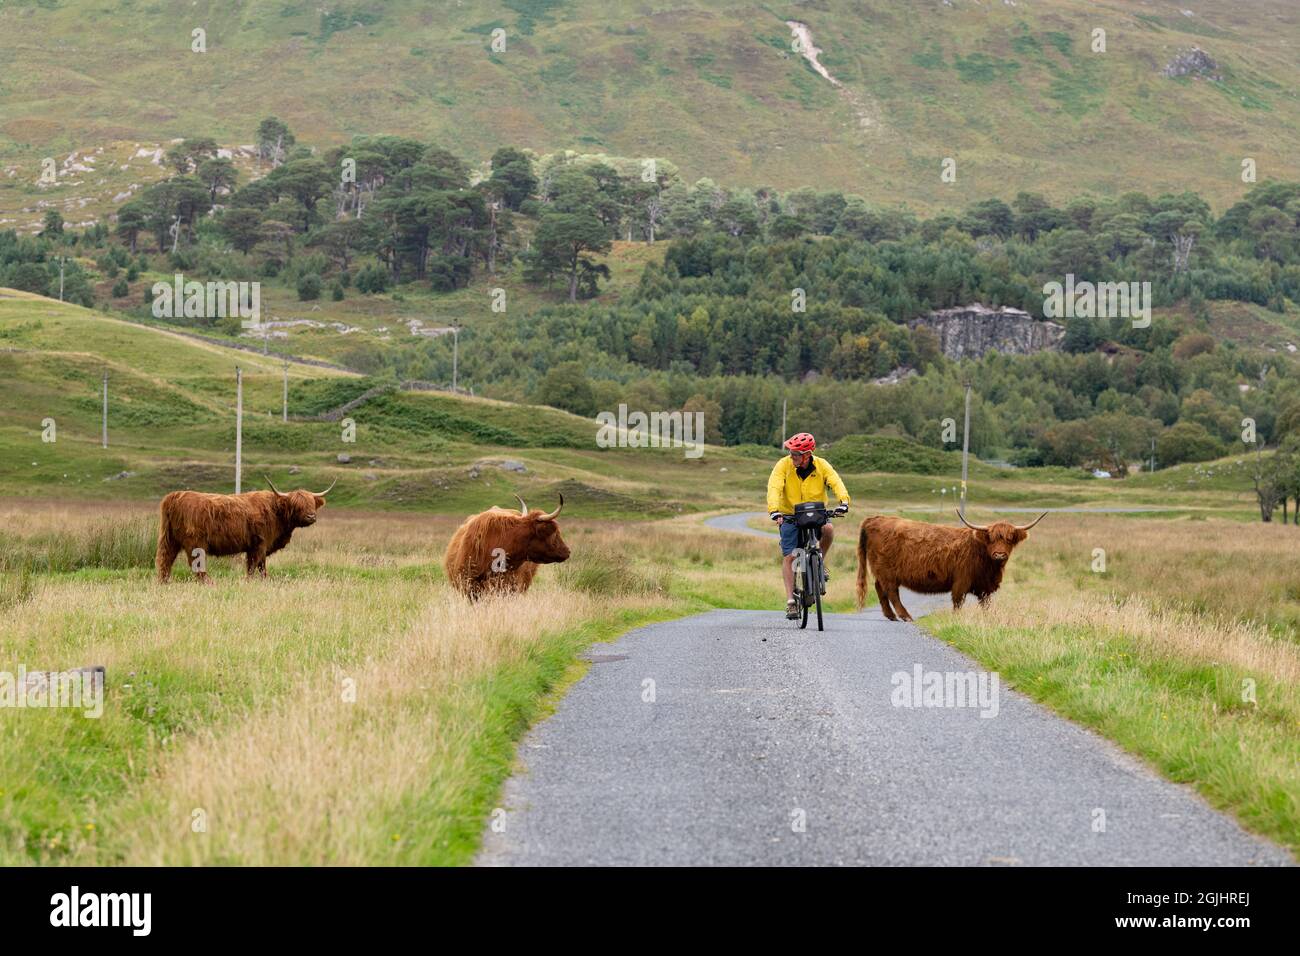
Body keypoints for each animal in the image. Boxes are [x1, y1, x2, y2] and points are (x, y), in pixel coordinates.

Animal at [156, 476, 335, 582]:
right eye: (297, 505)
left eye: (312, 503)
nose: (311, 516)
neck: (276, 512)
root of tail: (175, 496)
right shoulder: (260, 544)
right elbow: (254, 566)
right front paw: (249, 581)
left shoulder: (257, 547)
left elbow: (261, 567)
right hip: (195, 543)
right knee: (196, 565)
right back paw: (209, 583)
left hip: (169, 539)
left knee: (165, 560)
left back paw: (164, 582)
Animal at [852, 509, 1045, 621]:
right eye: (990, 538)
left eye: (1009, 539)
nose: (999, 554)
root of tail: (874, 519)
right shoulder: (961, 580)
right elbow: (958, 601)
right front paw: (956, 619)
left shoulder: (984, 586)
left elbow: (986, 603)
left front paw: (988, 619)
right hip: (888, 571)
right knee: (891, 592)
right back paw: (905, 616)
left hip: (882, 572)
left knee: (880, 588)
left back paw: (891, 616)